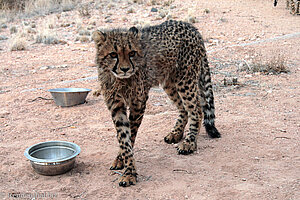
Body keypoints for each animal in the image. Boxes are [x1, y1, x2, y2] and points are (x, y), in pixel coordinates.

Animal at [92, 19, 221, 187]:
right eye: (113, 54)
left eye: (132, 53)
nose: (125, 69)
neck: (120, 79)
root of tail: (189, 25)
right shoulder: (116, 106)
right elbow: (123, 137)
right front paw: (123, 162)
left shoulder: (138, 103)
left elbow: (130, 136)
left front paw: (128, 171)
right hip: (169, 82)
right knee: (184, 108)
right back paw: (176, 133)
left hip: (185, 80)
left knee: (196, 110)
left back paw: (189, 142)